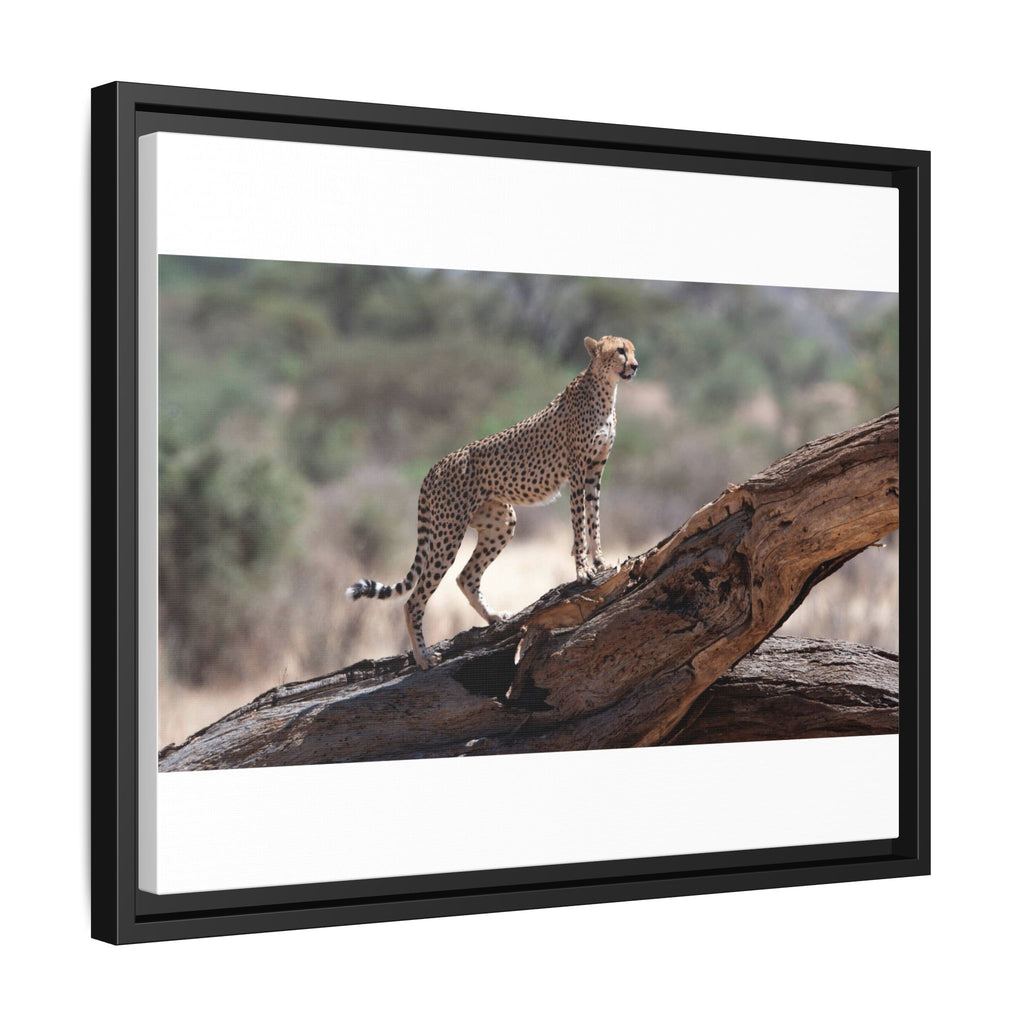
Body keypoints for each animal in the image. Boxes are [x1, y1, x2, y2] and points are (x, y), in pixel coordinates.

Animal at [346, 334, 639, 669]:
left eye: (632, 350)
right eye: (620, 351)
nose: (634, 365)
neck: (605, 389)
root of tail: (435, 466)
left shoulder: (594, 471)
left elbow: (594, 518)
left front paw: (600, 560)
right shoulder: (577, 471)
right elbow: (579, 523)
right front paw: (582, 570)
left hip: (500, 522)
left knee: (466, 577)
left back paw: (494, 617)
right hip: (448, 534)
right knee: (414, 599)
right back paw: (423, 657)